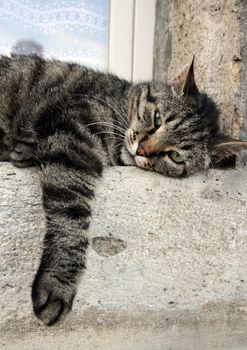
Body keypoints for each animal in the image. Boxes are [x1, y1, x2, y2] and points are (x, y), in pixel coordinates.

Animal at [0, 54, 247, 326]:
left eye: (175, 156)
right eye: (157, 118)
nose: (142, 149)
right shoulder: (73, 130)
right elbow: (70, 216)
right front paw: (58, 283)